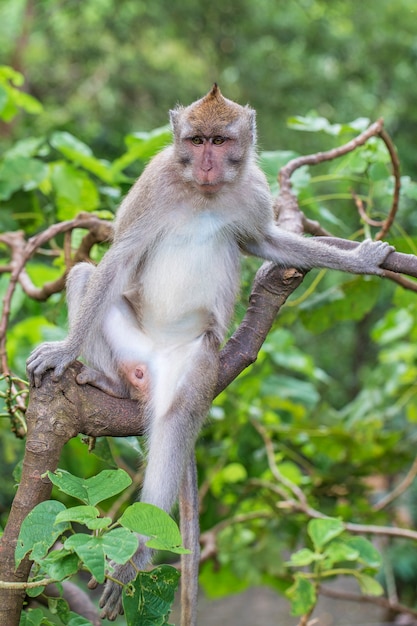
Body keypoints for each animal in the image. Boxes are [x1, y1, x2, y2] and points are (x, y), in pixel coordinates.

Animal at [26, 84, 394, 620]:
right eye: (196, 140)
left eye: (220, 141)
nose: (205, 163)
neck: (204, 194)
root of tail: (150, 367)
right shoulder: (154, 183)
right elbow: (118, 257)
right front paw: (64, 349)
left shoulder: (255, 190)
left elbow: (268, 242)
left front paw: (359, 261)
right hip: (132, 346)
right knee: (85, 275)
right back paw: (110, 382)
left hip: (199, 361)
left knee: (177, 419)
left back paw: (138, 552)